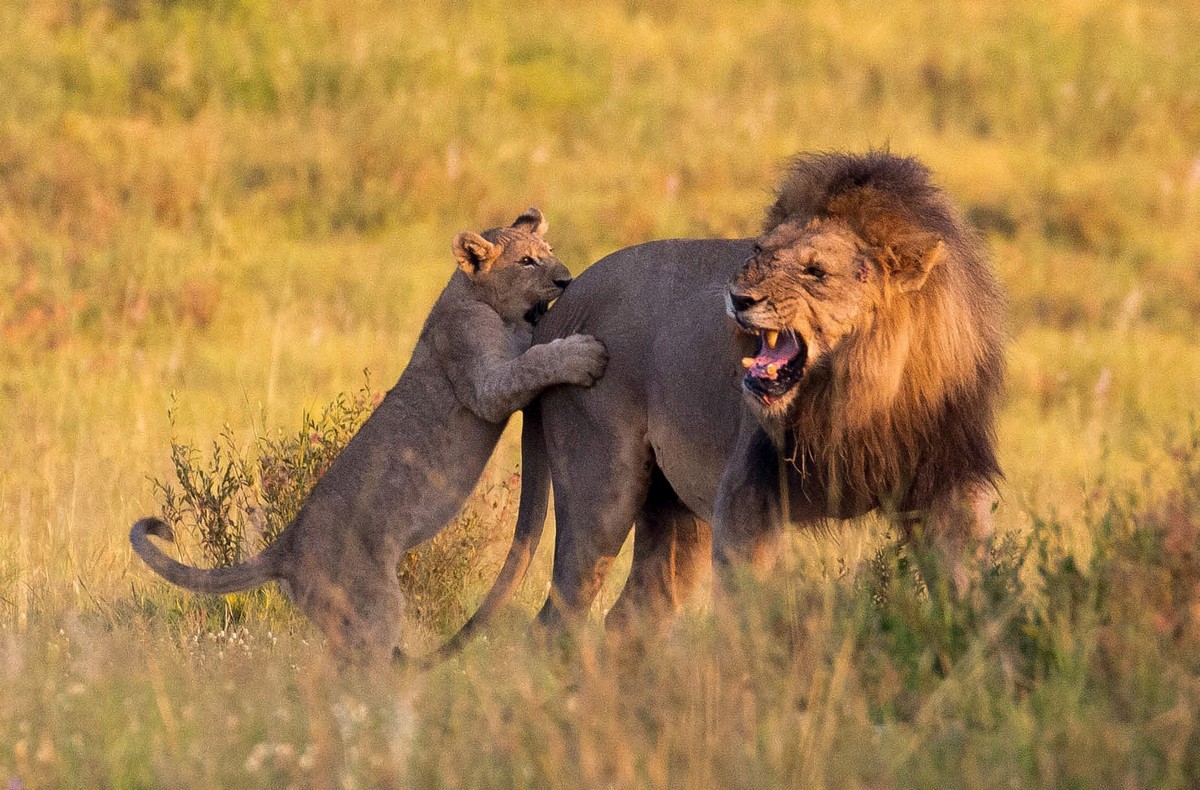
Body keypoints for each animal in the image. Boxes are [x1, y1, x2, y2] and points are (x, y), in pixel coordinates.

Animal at [129, 206, 609, 653]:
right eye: (527, 261)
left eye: (549, 251)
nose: (566, 280)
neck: (476, 297)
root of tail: (286, 544)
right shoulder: (482, 381)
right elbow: (531, 361)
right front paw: (583, 354)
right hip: (373, 605)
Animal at [453, 149, 1008, 638]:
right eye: (759, 252)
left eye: (816, 272)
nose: (739, 299)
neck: (852, 397)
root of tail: (560, 310)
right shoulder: (748, 496)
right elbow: (749, 615)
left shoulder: (948, 479)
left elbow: (969, 587)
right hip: (601, 491)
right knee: (557, 622)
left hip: (674, 508)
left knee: (633, 617)